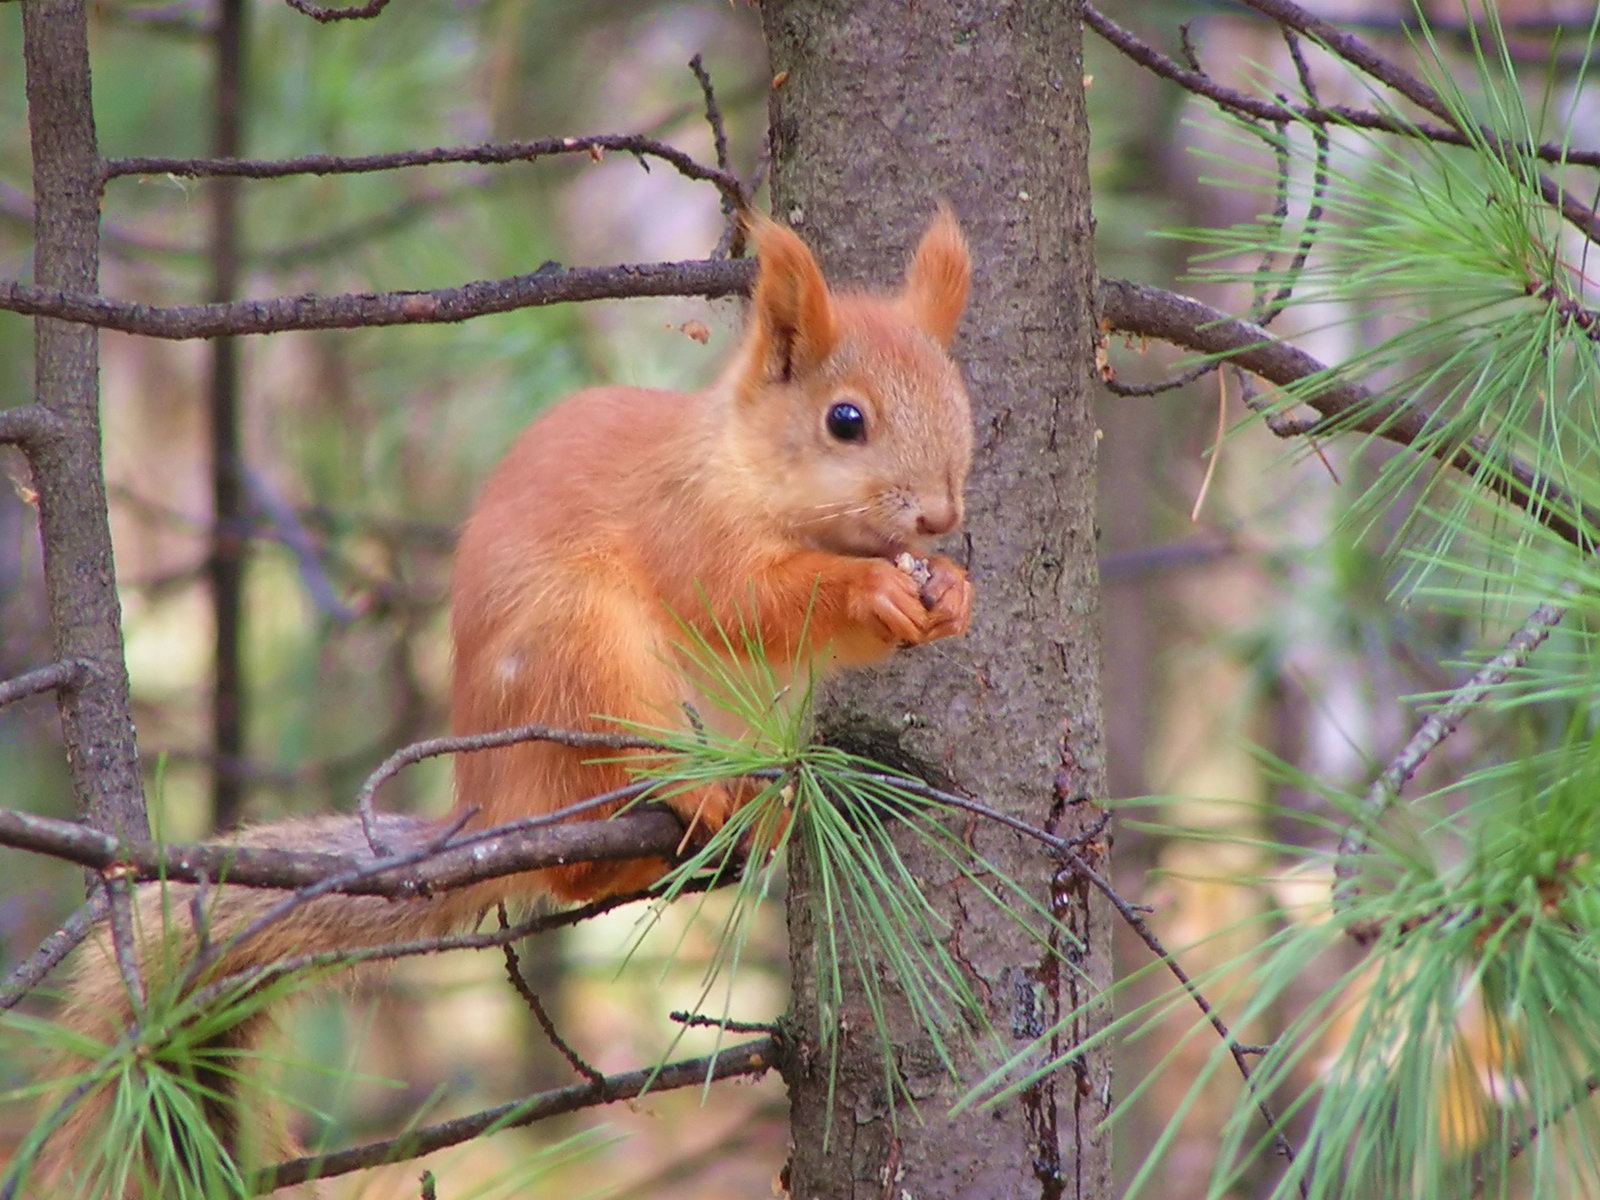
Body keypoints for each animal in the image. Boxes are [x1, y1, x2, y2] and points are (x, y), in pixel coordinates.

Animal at [40, 209, 972, 1196]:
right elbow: (744, 601)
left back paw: (751, 806)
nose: (941, 516)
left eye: (958, 400)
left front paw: (949, 595)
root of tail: (489, 802)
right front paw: (871, 588)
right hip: (581, 647)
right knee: (587, 830)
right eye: (845, 421)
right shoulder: (689, 525)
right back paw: (698, 794)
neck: (745, 467)